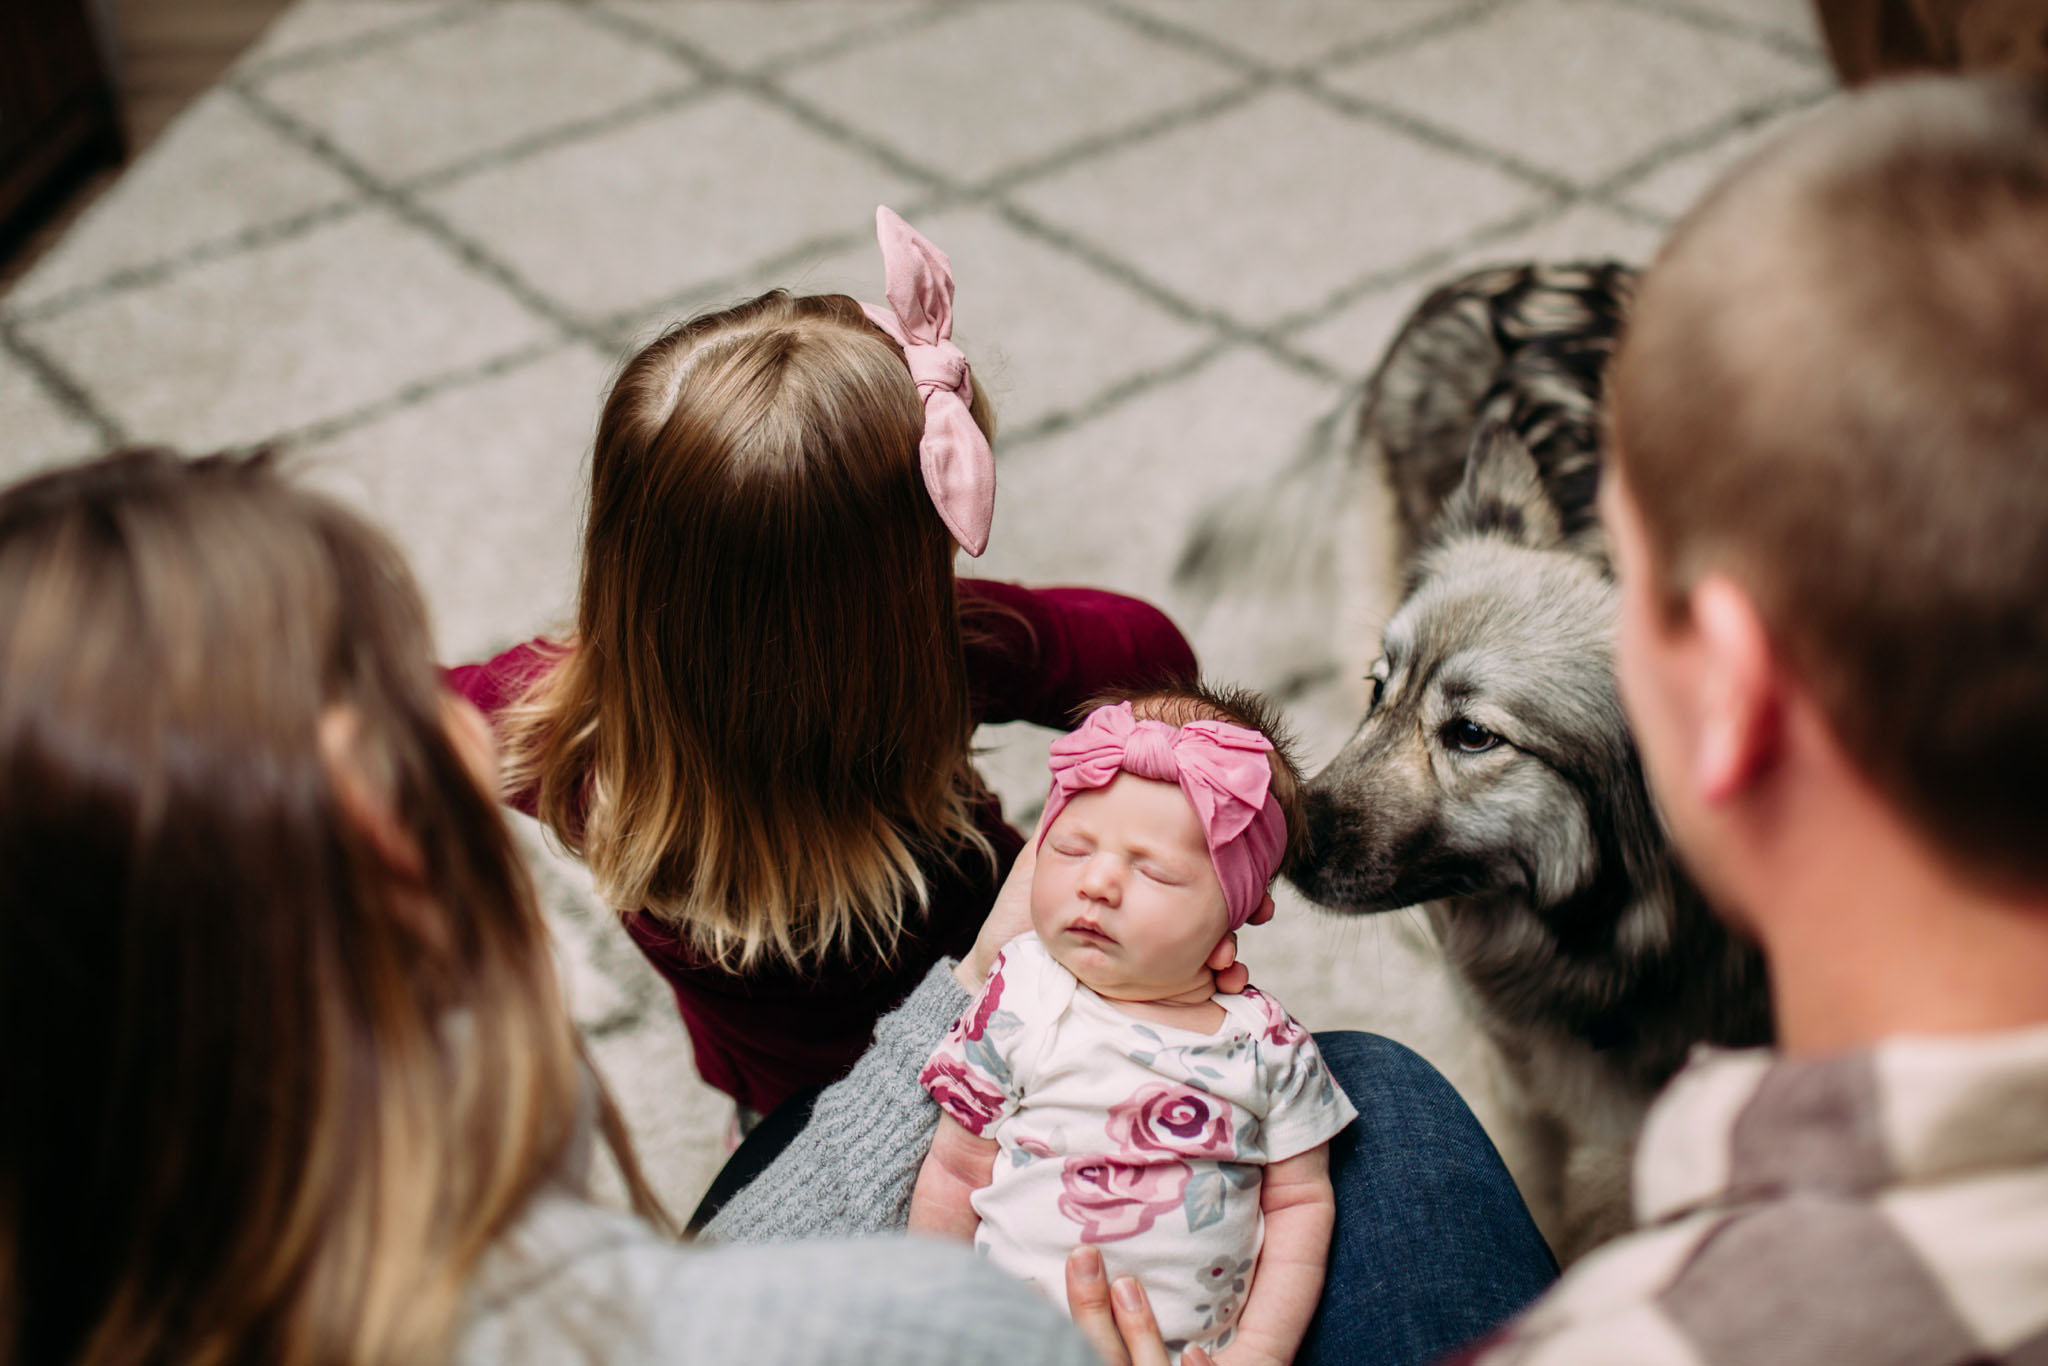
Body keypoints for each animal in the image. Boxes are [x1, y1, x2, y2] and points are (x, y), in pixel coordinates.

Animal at [1187, 262, 1777, 1269]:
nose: (1282, 844)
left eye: (1471, 735)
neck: (1622, 941)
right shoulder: (1516, 1096)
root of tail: (1495, 277)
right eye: (1380, 692)